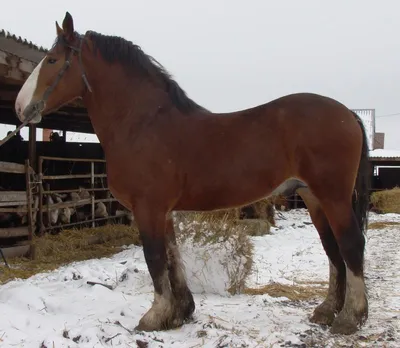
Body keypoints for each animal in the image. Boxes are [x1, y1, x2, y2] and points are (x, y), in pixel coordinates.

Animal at [14, 12, 370, 334]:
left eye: (52, 60)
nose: (19, 107)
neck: (143, 124)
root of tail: (347, 114)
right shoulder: (163, 211)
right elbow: (173, 258)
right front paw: (181, 313)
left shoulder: (148, 208)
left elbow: (155, 259)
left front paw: (155, 317)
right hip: (313, 197)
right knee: (332, 249)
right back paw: (326, 310)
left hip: (333, 196)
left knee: (351, 244)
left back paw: (350, 317)